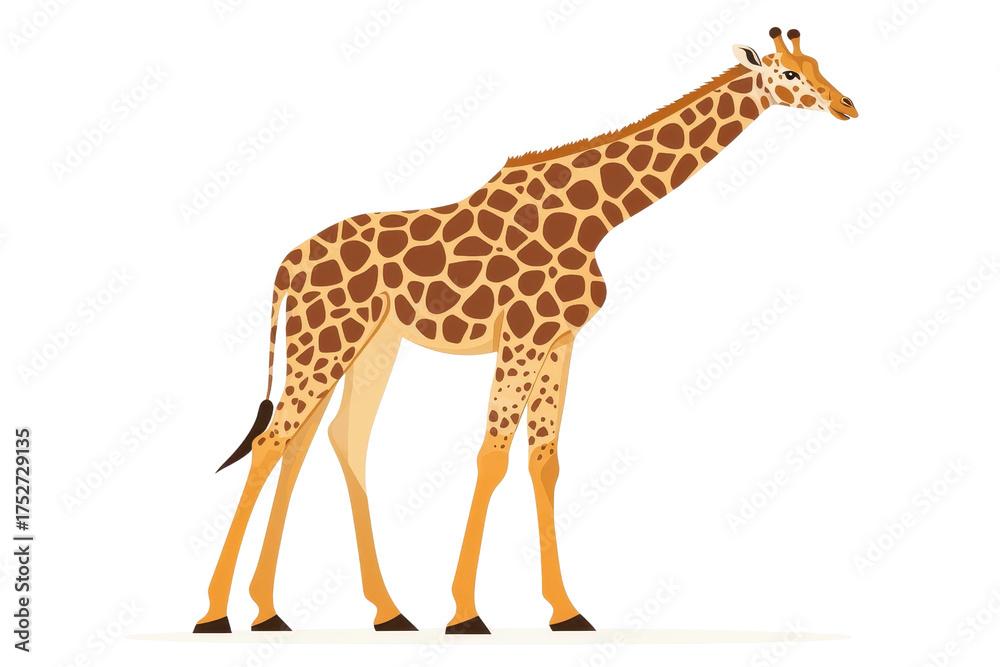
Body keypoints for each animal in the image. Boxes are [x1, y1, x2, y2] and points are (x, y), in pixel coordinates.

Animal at [193, 28, 857, 635]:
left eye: (817, 64)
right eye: (789, 74)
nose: (848, 106)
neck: (599, 216)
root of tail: (286, 264)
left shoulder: (559, 341)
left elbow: (545, 461)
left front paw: (565, 611)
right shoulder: (522, 335)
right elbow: (492, 457)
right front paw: (465, 615)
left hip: (366, 342)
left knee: (324, 441)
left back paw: (336, 611)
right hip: (327, 337)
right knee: (274, 441)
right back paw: (218, 613)